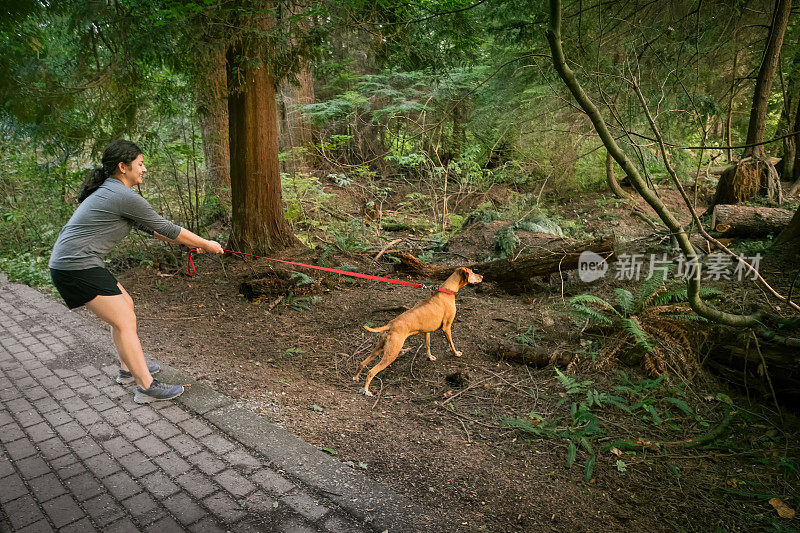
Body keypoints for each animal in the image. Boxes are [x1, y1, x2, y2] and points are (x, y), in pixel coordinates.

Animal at [354, 266, 482, 394]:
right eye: (472, 272)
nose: (482, 276)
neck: (446, 291)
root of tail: (390, 325)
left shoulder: (427, 332)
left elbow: (428, 345)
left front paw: (430, 357)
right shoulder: (447, 327)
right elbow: (451, 344)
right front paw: (456, 354)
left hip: (379, 349)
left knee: (362, 363)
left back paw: (356, 377)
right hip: (391, 354)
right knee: (371, 371)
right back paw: (366, 391)